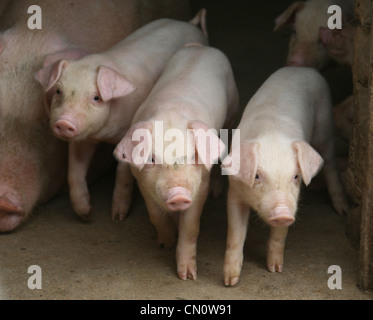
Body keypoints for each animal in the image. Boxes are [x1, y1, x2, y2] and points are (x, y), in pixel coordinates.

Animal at [34, 10, 209, 220]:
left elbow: (122, 170)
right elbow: (75, 169)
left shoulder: (129, 132)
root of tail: (189, 24)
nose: (64, 122)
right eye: (59, 92)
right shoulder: (84, 138)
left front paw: (118, 216)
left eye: (96, 97)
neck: (103, 134)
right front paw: (86, 214)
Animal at [113, 45, 240, 280]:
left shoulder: (200, 185)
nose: (178, 193)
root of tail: (202, 48)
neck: (169, 115)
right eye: (152, 159)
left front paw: (188, 276)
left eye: (192, 156)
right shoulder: (143, 183)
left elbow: (191, 228)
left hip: (232, 111)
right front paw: (166, 244)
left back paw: (216, 192)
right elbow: (156, 215)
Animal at [222, 66, 348, 286]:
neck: (271, 133)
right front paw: (230, 282)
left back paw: (343, 211)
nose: (282, 212)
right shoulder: (234, 191)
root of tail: (303, 68)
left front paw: (275, 270)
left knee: (330, 162)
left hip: (325, 125)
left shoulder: (293, 200)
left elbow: (279, 235)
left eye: (296, 176)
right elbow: (235, 234)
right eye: (257, 176)